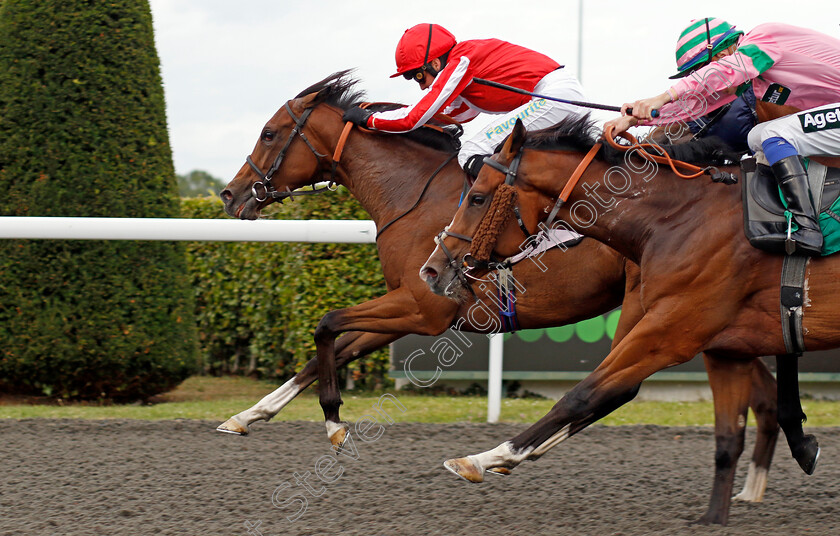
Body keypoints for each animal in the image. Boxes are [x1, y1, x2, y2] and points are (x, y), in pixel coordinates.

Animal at [218, 71, 780, 524]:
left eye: (269, 133)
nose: (230, 194)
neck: (413, 195)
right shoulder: (413, 304)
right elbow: (331, 349)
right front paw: (247, 416)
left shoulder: (424, 307)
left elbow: (328, 323)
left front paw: (335, 422)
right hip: (699, 317)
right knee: (751, 388)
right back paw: (756, 480)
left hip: (672, 314)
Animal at [420, 117, 832, 524]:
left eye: (477, 197)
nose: (431, 269)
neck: (680, 217)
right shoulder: (720, 346)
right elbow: (724, 434)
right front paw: (715, 518)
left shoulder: (669, 332)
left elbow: (581, 396)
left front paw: (484, 458)